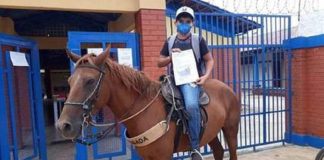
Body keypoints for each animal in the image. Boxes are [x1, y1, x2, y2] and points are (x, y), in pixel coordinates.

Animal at [56, 47, 240, 160]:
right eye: (70, 81)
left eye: (90, 81)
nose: (63, 125)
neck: (144, 111)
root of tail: (228, 89)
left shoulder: (163, 156)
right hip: (211, 132)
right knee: (218, 151)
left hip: (231, 130)